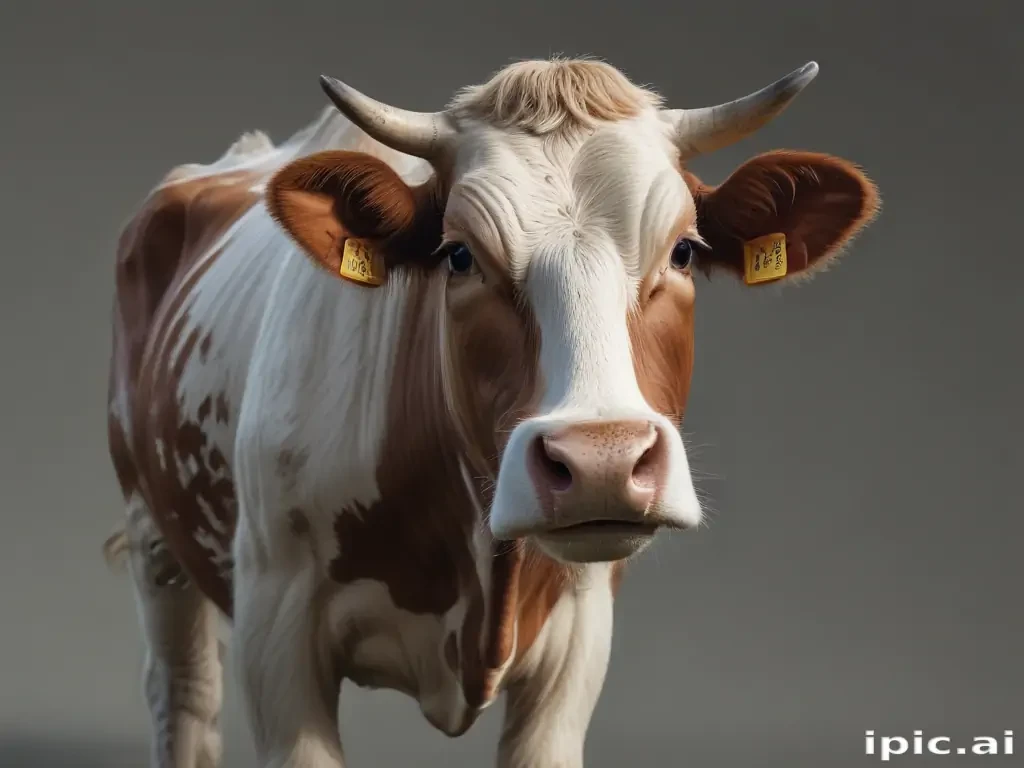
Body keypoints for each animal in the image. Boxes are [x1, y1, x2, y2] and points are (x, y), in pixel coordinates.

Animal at [103, 56, 879, 768]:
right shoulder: (278, 628)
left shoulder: (578, 640)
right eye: (458, 256)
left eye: (685, 251)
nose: (602, 460)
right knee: (184, 696)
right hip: (153, 536)